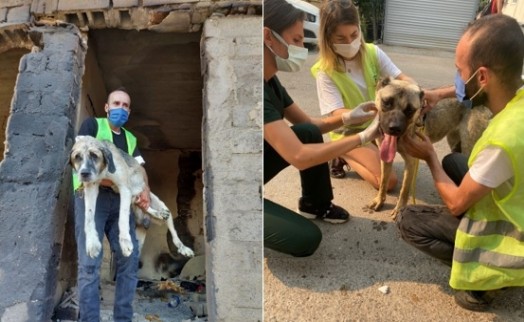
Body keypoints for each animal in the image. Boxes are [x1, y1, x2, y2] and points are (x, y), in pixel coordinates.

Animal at [368, 76, 488, 220]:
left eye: (410, 110)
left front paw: (399, 209)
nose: (394, 128)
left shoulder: (411, 163)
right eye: (387, 102)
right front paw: (379, 200)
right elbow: (383, 182)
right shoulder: (386, 159)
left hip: (468, 148)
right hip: (454, 142)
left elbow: (404, 190)